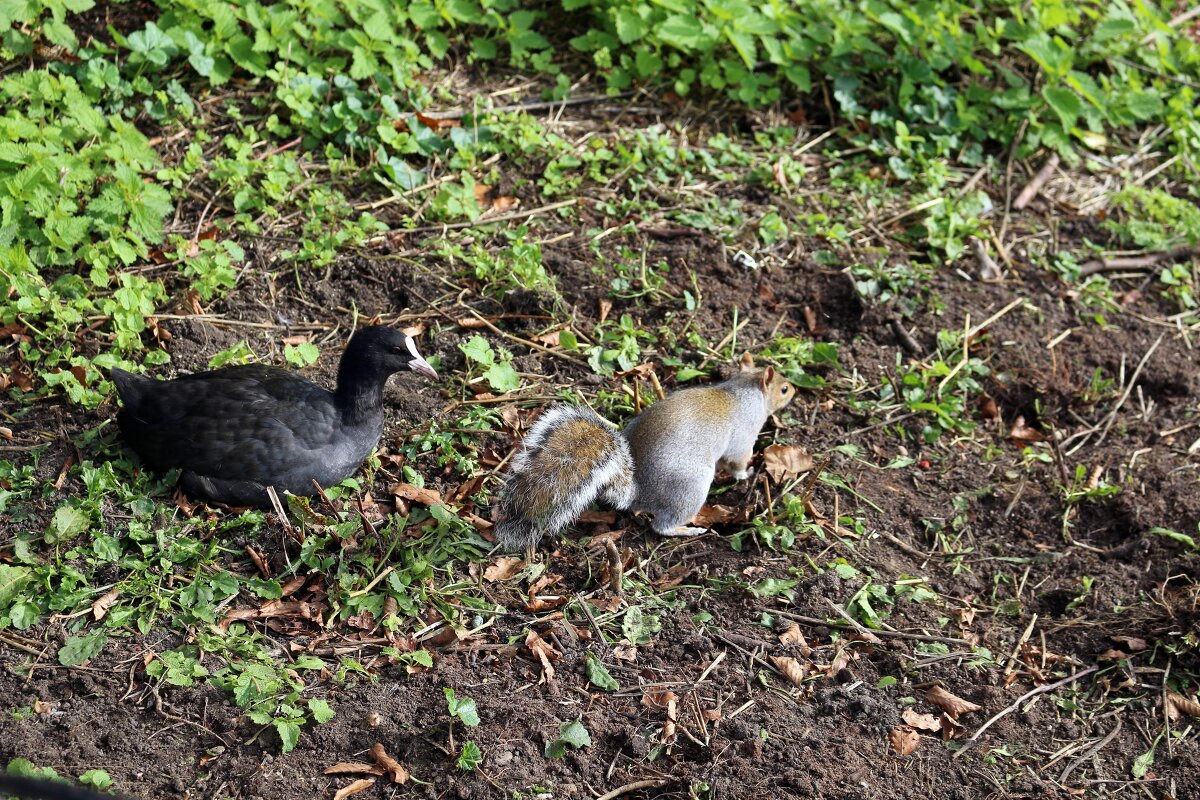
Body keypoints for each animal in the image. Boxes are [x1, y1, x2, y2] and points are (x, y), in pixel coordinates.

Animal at [492, 355, 792, 551]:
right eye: (784, 388)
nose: (795, 392)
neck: (742, 392)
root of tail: (638, 493)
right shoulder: (743, 437)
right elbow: (737, 461)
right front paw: (747, 473)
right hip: (691, 487)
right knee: (662, 525)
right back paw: (687, 529)